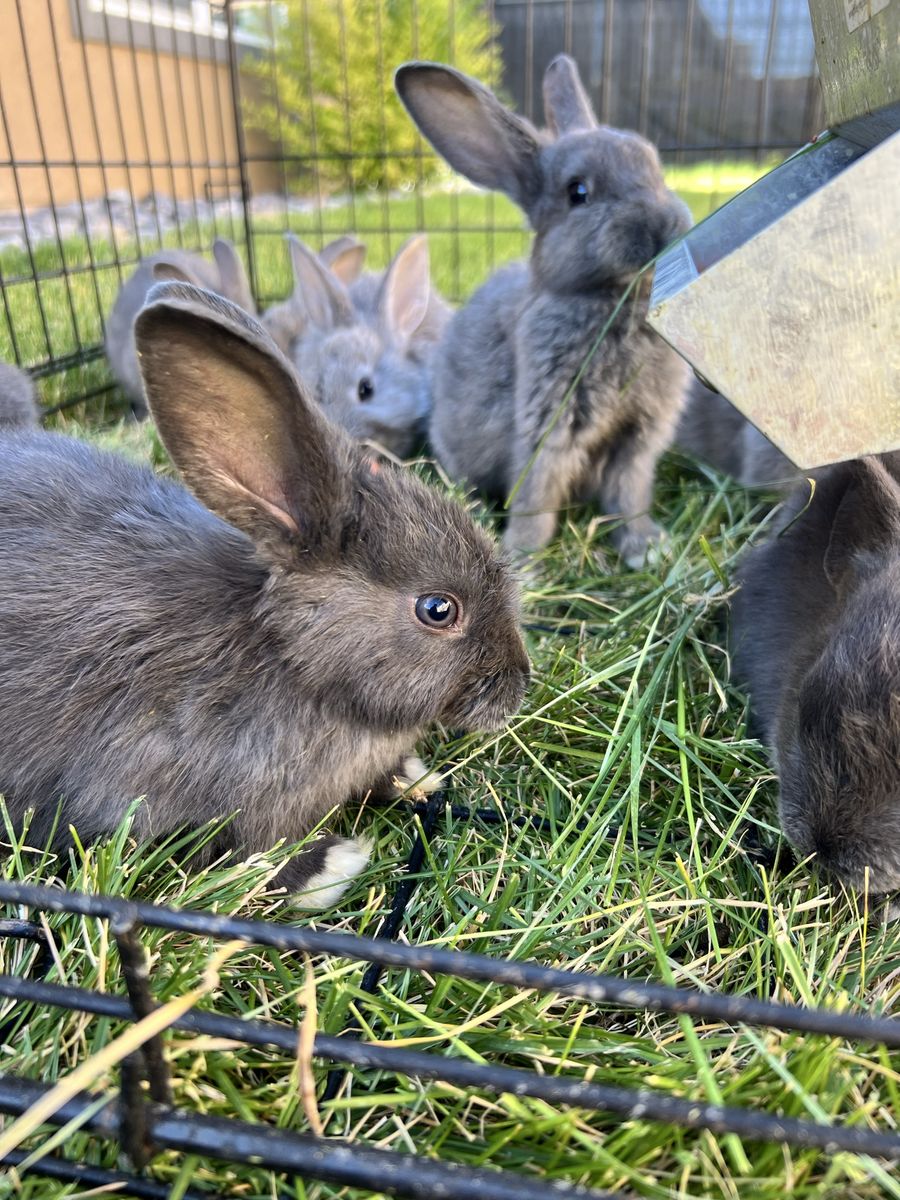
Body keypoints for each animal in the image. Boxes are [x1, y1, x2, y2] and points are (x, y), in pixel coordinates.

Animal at [0, 281, 529, 908]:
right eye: (438, 609)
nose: (520, 683)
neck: (291, 658)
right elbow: (244, 855)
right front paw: (330, 866)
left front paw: (415, 778)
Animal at [395, 56, 692, 567]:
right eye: (578, 192)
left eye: (655, 168)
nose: (663, 226)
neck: (612, 300)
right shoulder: (547, 426)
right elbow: (537, 495)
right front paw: (522, 559)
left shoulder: (639, 438)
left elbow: (629, 493)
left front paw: (645, 547)